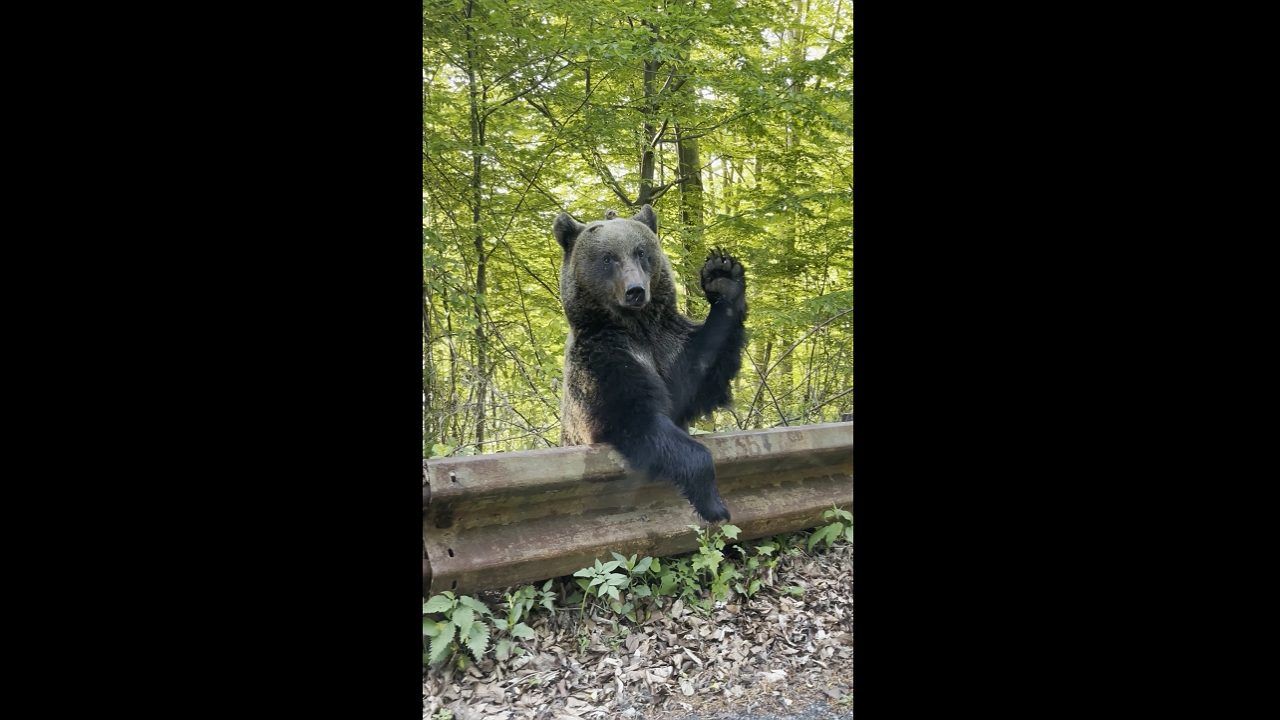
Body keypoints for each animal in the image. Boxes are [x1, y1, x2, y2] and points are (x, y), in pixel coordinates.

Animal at [552, 204, 748, 522]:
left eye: (641, 252)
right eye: (607, 258)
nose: (635, 290)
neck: (636, 327)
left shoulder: (668, 349)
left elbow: (700, 373)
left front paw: (723, 277)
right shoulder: (603, 360)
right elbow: (637, 418)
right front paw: (714, 504)